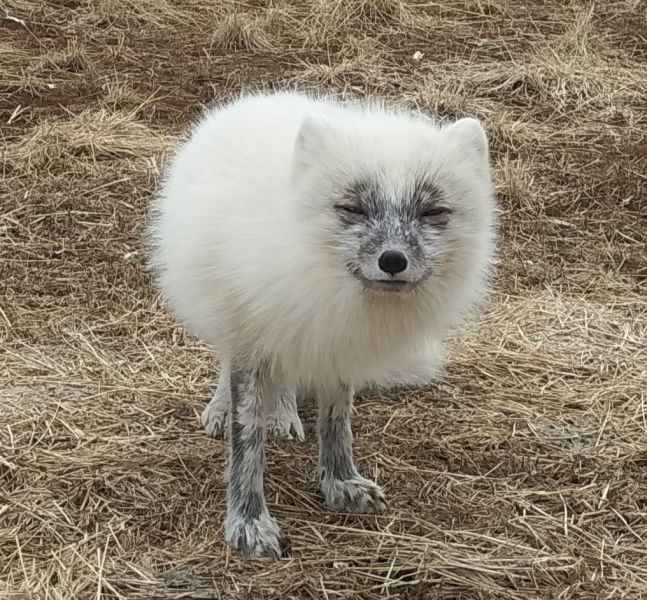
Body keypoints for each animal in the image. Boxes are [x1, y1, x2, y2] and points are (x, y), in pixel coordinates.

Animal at [149, 89, 498, 556]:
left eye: (432, 212)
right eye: (352, 208)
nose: (392, 261)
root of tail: (266, 96)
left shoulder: (339, 343)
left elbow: (336, 425)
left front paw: (340, 482)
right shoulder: (252, 338)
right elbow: (247, 441)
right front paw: (248, 521)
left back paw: (282, 413)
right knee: (228, 363)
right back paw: (223, 407)